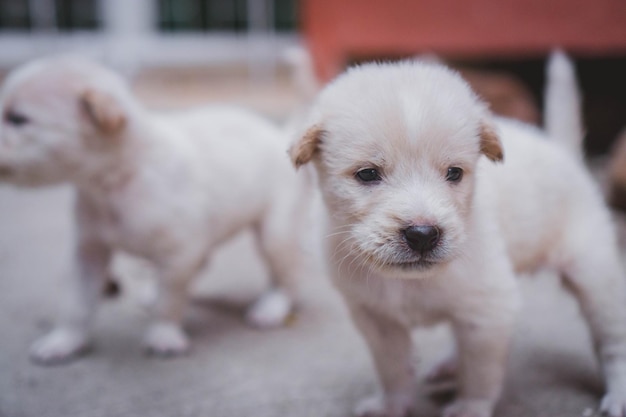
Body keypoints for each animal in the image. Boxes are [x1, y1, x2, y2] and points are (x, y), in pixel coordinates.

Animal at [0, 56, 310, 364]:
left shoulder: (180, 254)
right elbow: (75, 303)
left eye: (18, 119)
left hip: (275, 235)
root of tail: (277, 133)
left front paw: (163, 335)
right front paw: (65, 340)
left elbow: (169, 301)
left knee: (289, 278)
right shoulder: (88, 252)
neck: (117, 179)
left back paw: (272, 307)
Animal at [290, 52, 624, 416]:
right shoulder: (377, 319)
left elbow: (480, 371)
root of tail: (563, 152)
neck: (410, 283)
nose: (423, 234)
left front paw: (469, 407)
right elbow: (392, 367)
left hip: (595, 276)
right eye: (367, 174)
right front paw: (393, 404)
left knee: (613, 341)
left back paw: (618, 395)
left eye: (454, 173)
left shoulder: (491, 308)